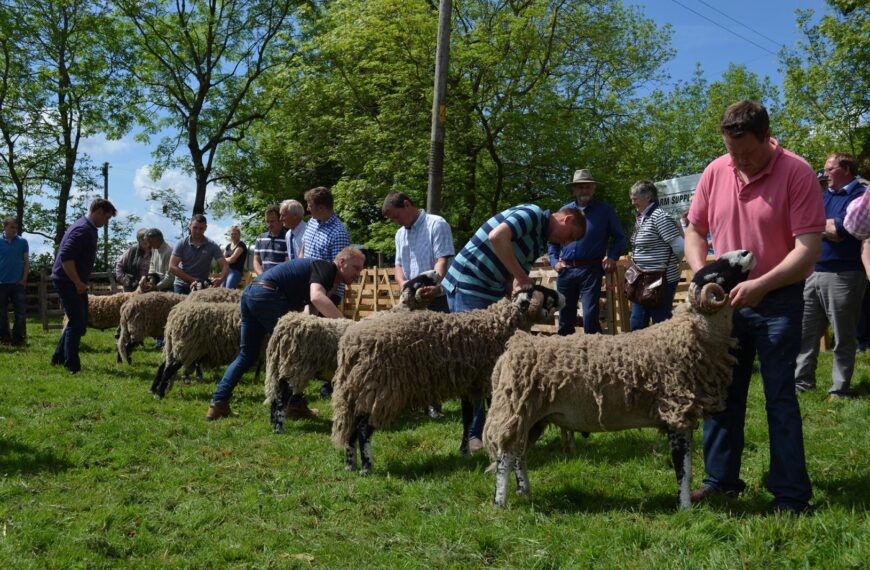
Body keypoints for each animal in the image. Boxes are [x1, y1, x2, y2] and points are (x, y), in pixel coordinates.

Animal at [264, 269, 445, 434]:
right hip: (293, 367)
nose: (437, 271)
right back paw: (279, 428)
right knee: (281, 399)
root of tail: (284, 325)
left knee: (275, 397)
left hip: (284, 367)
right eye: (421, 280)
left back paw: (274, 424)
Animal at [330, 284, 564, 474]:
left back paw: (350, 465)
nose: (562, 295)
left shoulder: (469, 385)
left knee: (351, 427)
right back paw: (367, 466)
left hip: (357, 390)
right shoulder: (490, 382)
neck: (500, 323)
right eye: (546, 292)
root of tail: (351, 344)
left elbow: (467, 419)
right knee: (363, 429)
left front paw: (465, 451)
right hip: (381, 390)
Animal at [483, 250, 757, 511]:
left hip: (531, 416)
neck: (690, 334)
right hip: (514, 409)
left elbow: (686, 470)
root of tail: (510, 351)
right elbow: (683, 470)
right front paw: (686, 509)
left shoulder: (683, 415)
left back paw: (524, 492)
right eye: (715, 275)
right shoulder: (675, 411)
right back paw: (500, 503)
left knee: (519, 456)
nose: (746, 252)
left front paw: (686, 506)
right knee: (505, 458)